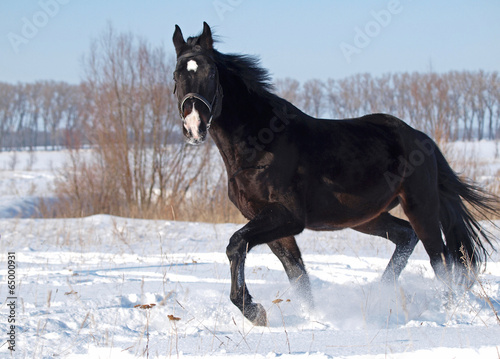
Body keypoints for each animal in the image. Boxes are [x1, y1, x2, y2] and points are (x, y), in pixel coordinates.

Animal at [172, 21, 496, 326]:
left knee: (440, 260)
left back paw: (443, 311)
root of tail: (421, 138)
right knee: (406, 237)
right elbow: (298, 276)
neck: (261, 143)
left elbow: (236, 244)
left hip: (421, 207)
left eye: (211, 73)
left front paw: (254, 310)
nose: (194, 127)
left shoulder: (287, 217)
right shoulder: (265, 220)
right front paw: (311, 319)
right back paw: (379, 298)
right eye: (176, 75)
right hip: (365, 217)